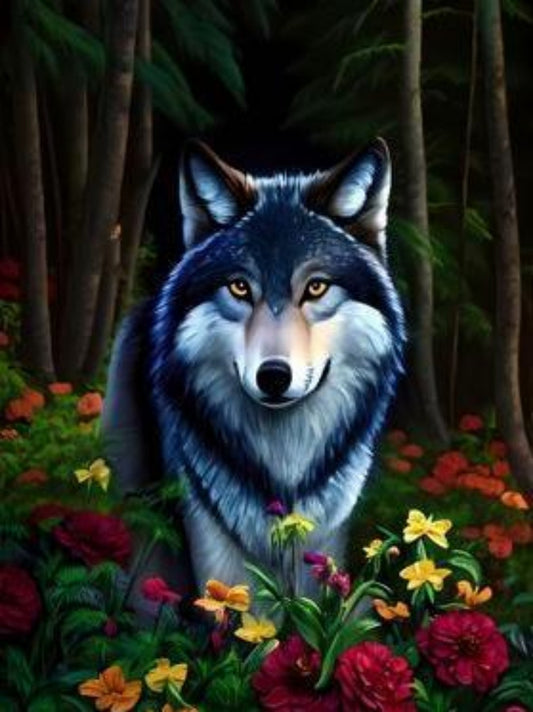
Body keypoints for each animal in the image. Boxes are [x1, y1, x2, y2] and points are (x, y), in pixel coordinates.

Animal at [103, 139, 405, 596]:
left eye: (316, 287)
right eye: (240, 287)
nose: (274, 376)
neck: (283, 465)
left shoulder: (326, 535)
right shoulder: (209, 532)